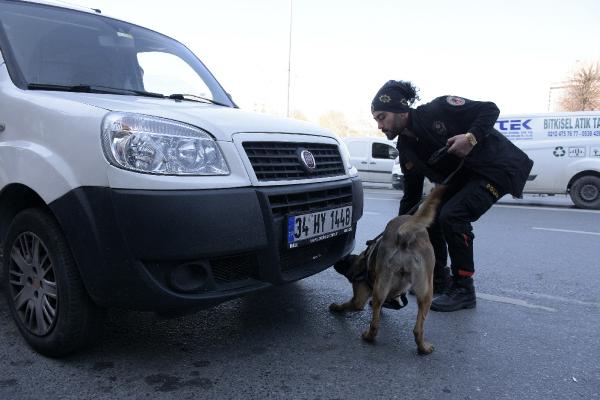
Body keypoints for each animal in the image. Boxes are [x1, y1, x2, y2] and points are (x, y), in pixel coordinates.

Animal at [328, 184, 446, 354]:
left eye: (343, 261)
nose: (335, 263)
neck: (362, 260)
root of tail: (405, 236)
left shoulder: (359, 298)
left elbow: (349, 305)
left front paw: (336, 307)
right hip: (426, 292)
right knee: (418, 328)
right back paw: (422, 347)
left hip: (381, 285)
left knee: (375, 324)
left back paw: (369, 337)